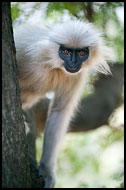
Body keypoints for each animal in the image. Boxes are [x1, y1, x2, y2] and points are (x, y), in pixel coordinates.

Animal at [13, 20, 112, 187]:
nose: (73, 61)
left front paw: (46, 170)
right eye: (65, 52)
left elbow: (59, 112)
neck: (52, 64)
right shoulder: (23, 51)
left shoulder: (76, 76)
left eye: (81, 53)